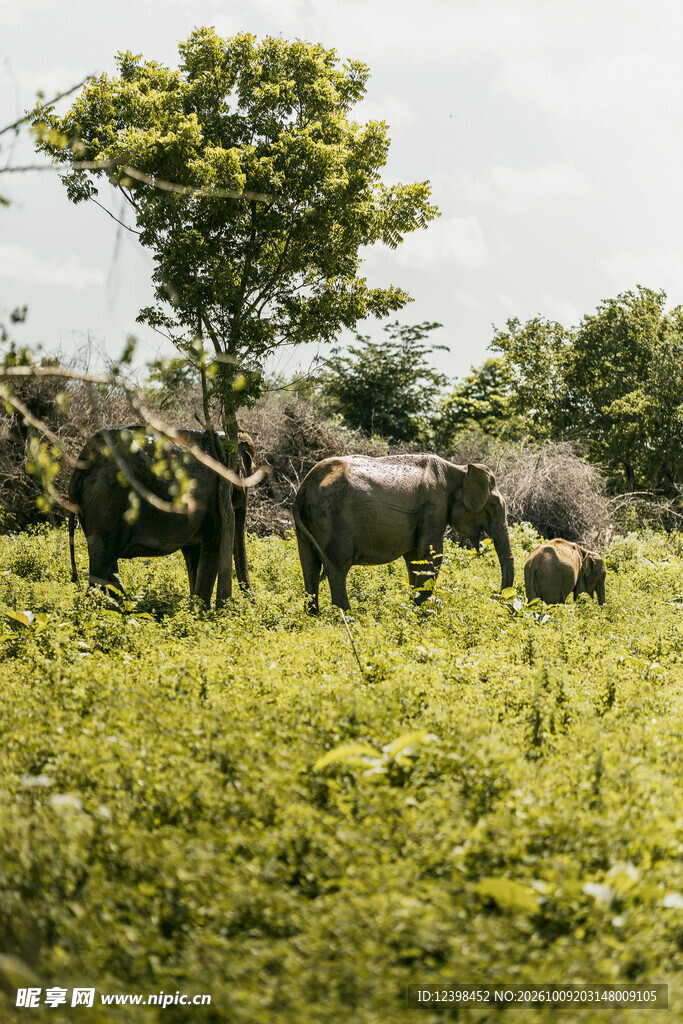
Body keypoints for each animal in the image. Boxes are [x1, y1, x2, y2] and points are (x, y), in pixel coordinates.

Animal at [68, 427, 255, 606]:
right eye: (251, 470)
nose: (250, 602)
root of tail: (83, 461)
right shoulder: (214, 500)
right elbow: (213, 543)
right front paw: (201, 611)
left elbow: (193, 551)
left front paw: (194, 608)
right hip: (108, 500)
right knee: (102, 559)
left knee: (108, 562)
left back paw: (121, 606)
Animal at [292, 454, 514, 613]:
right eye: (494, 505)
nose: (498, 597)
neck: (458, 469)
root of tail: (302, 490)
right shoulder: (433, 506)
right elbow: (432, 557)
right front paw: (421, 612)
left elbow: (415, 559)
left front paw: (411, 608)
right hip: (334, 518)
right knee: (337, 567)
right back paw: (347, 616)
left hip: (308, 524)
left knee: (310, 566)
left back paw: (313, 616)